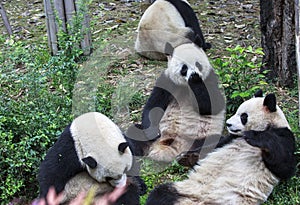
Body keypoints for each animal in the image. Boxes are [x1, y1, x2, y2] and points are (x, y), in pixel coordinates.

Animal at [146, 91, 298, 205]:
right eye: (237, 112)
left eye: (244, 116)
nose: (228, 124)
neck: (269, 125)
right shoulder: (230, 138)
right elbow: (212, 146)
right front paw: (186, 157)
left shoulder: (285, 136)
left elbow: (284, 166)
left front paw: (255, 137)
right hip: (184, 190)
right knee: (160, 194)